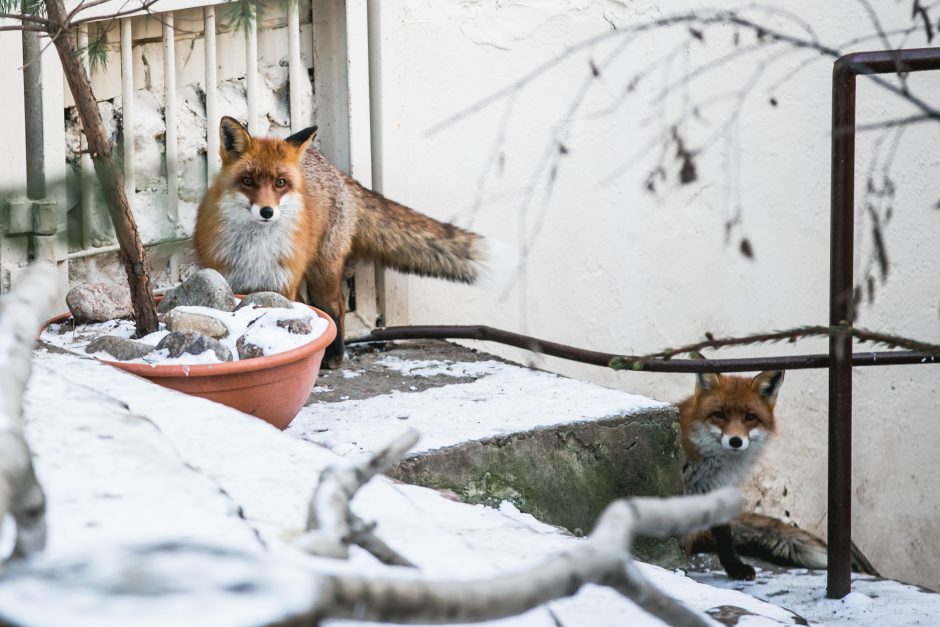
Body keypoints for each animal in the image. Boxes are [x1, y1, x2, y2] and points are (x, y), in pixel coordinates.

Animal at [191, 116, 484, 368]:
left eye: (280, 183)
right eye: (248, 181)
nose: (266, 211)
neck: (256, 251)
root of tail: (340, 174)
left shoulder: (282, 284)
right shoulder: (230, 278)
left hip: (324, 272)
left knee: (336, 307)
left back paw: (335, 355)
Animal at [680, 370, 876, 580]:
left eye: (750, 417)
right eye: (719, 414)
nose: (735, 441)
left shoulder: (718, 493)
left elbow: (725, 540)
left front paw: (736, 568)